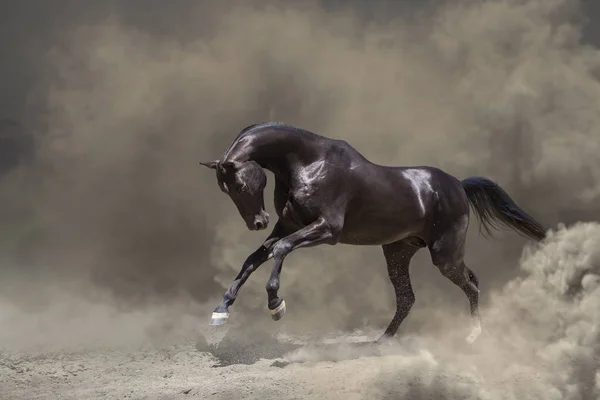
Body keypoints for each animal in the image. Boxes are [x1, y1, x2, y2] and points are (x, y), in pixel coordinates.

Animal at [199, 122, 548, 344]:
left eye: (240, 185)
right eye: (226, 190)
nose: (257, 222)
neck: (308, 163)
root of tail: (459, 186)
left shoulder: (327, 229)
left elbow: (281, 249)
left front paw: (275, 304)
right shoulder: (289, 225)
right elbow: (255, 258)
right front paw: (221, 310)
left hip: (444, 256)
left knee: (471, 285)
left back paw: (474, 334)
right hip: (398, 252)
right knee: (408, 297)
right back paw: (383, 340)